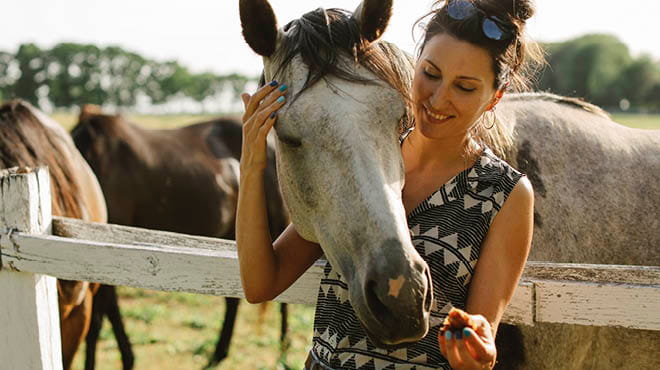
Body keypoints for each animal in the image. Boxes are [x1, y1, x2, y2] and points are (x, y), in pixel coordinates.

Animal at [69, 106, 292, 368]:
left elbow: (96, 321)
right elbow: (108, 312)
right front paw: (128, 357)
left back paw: (283, 349)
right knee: (234, 299)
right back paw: (219, 352)